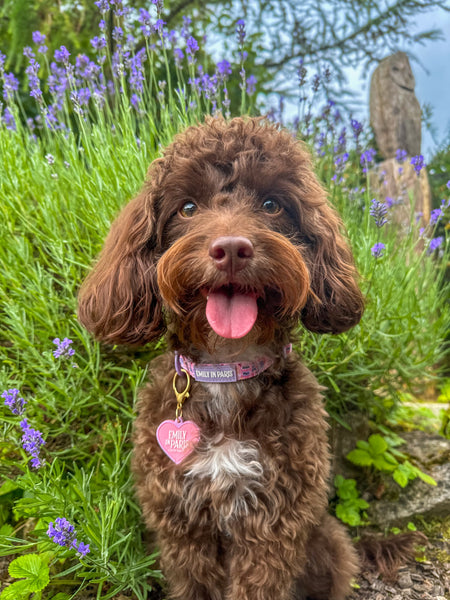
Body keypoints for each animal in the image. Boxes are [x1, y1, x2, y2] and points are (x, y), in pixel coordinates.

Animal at [78, 117, 366, 600]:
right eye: (188, 208)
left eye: (271, 204)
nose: (231, 248)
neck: (227, 369)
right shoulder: (181, 521)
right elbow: (193, 580)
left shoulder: (274, 524)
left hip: (327, 542)